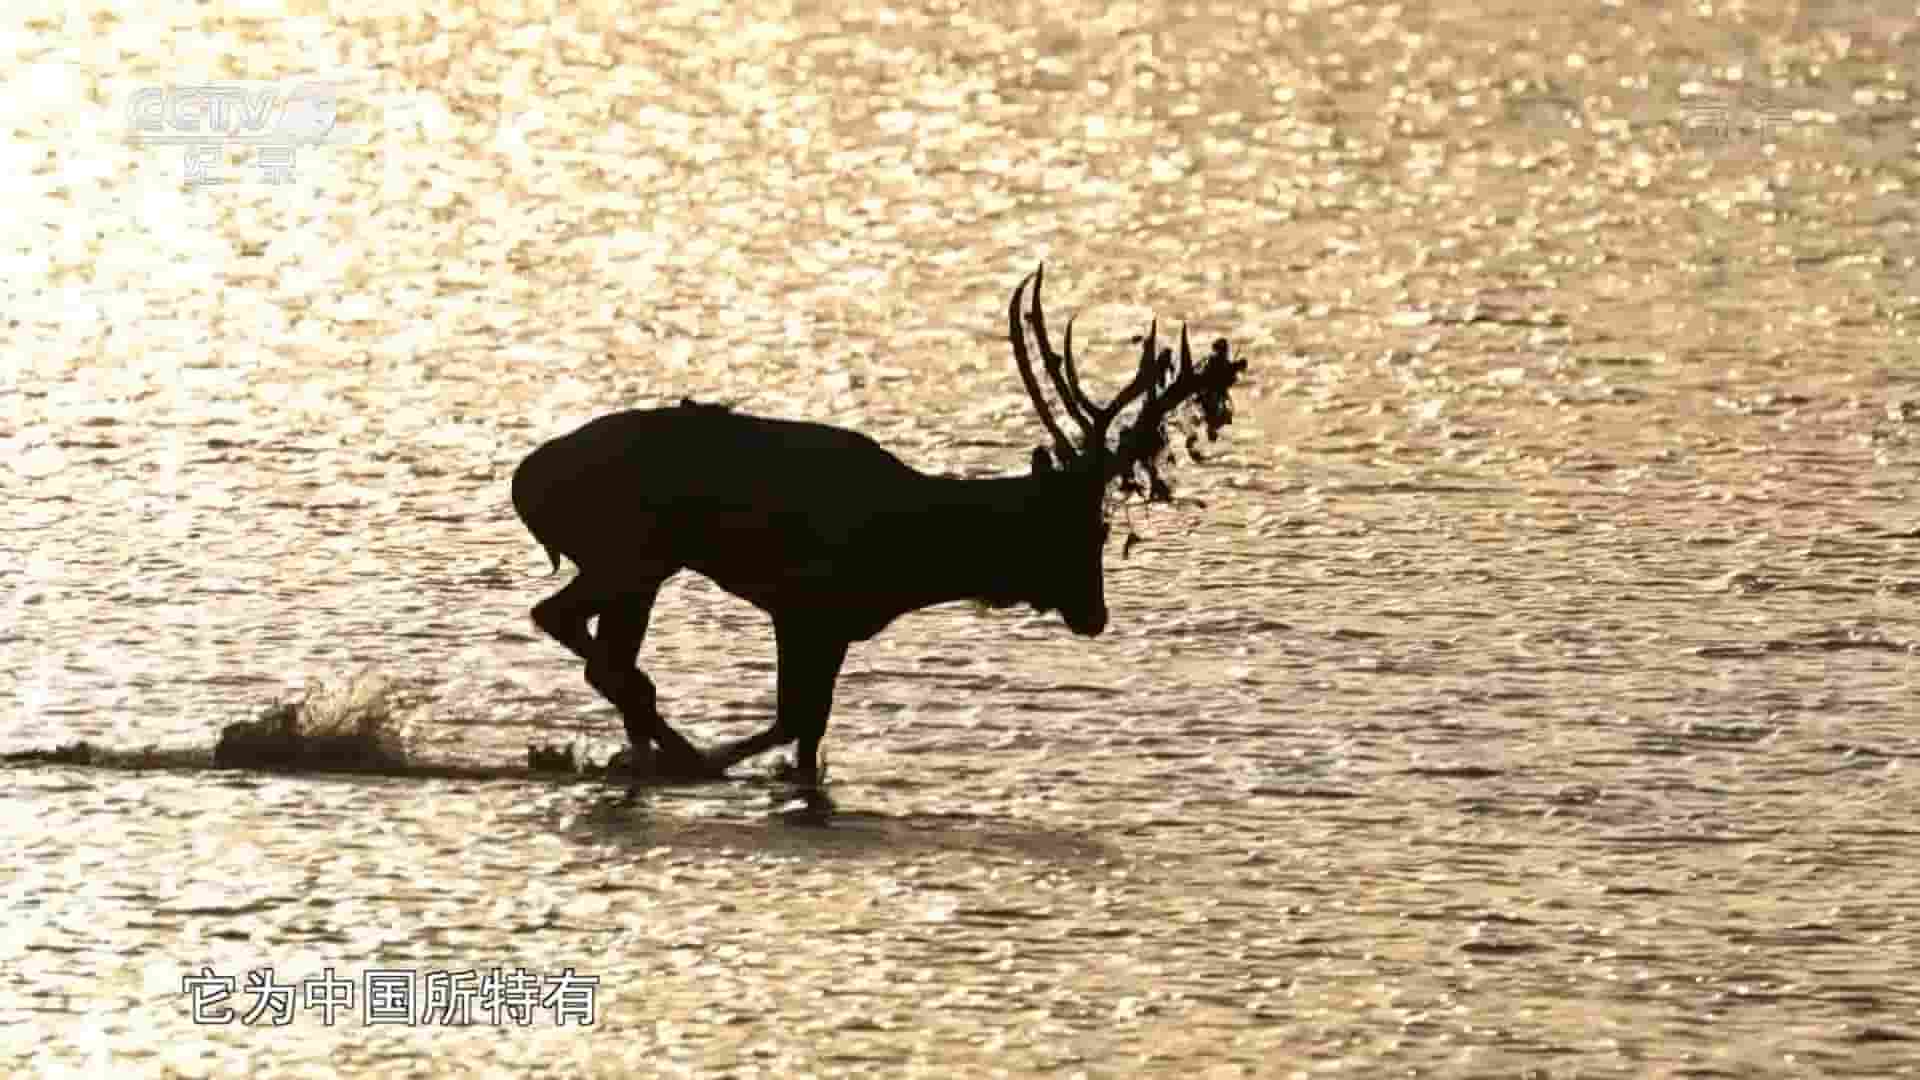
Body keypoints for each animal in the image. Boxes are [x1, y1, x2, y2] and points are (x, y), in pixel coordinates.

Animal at [511, 266, 1248, 788]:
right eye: (1080, 532)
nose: (1095, 615)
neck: (911, 556)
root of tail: (524, 483)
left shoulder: (832, 623)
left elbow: (808, 731)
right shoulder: (806, 606)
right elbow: (793, 721)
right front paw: (715, 764)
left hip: (639, 567)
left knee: (602, 652)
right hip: (631, 551)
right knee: (580, 637)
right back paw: (670, 756)